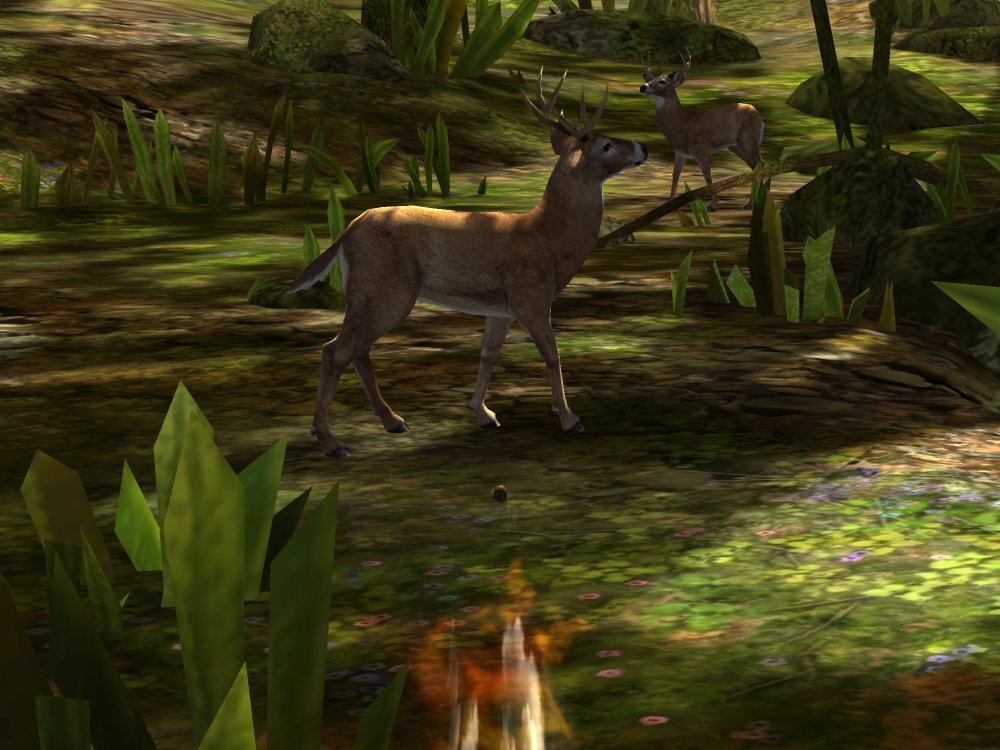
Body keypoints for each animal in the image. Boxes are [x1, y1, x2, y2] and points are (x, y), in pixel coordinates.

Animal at [287, 70, 648, 458]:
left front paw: (482, 412)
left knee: (358, 350)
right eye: (606, 145)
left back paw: (393, 421)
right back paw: (331, 441)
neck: (547, 239)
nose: (645, 146)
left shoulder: (500, 309)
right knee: (335, 350)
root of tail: (347, 229)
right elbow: (552, 354)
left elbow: (487, 354)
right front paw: (569, 418)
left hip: (366, 293)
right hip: (387, 289)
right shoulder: (530, 297)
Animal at [639, 48, 765, 211]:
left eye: (662, 81)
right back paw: (755, 199)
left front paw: (712, 205)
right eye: (650, 79)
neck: (683, 126)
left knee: (760, 163)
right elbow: (675, 175)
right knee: (755, 165)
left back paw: (752, 202)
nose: (643, 86)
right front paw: (670, 202)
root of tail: (760, 116)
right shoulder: (679, 152)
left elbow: (707, 176)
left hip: (749, 138)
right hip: (736, 145)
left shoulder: (702, 149)